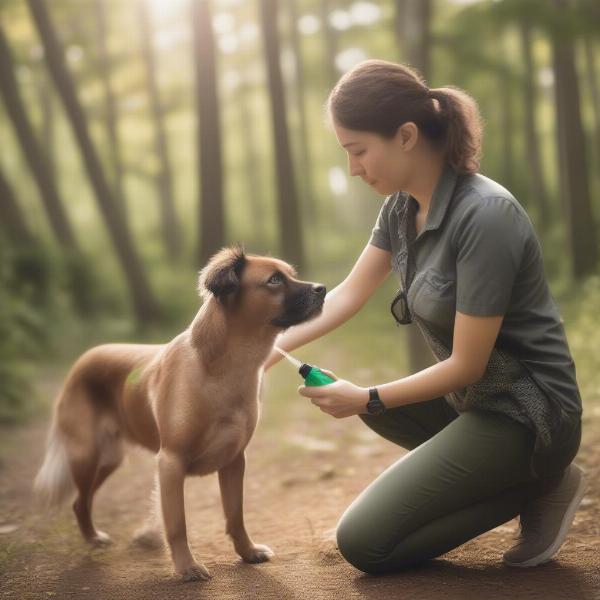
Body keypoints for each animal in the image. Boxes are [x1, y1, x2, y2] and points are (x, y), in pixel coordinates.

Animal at [35, 246, 326, 580]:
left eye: (290, 274)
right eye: (274, 280)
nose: (323, 289)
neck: (223, 369)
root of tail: (82, 360)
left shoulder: (234, 460)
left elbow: (235, 515)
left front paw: (247, 551)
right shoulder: (171, 463)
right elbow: (177, 525)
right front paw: (187, 567)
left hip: (109, 459)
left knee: (81, 500)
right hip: (86, 455)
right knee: (80, 501)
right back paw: (93, 539)